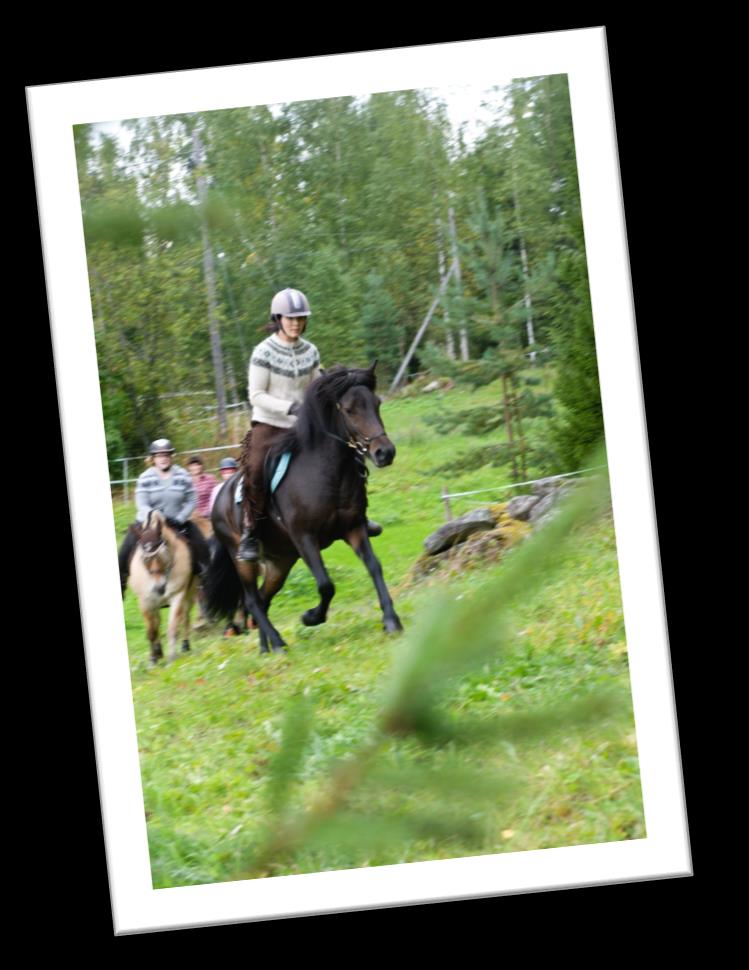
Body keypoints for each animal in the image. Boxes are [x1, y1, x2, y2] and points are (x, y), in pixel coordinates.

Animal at [203, 366, 404, 656]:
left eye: (376, 404)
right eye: (349, 410)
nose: (384, 452)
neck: (329, 474)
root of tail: (218, 497)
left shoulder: (354, 528)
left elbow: (374, 567)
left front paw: (391, 621)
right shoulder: (304, 538)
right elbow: (326, 584)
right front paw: (311, 617)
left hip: (281, 561)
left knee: (262, 598)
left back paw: (266, 649)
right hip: (243, 559)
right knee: (251, 600)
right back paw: (278, 644)